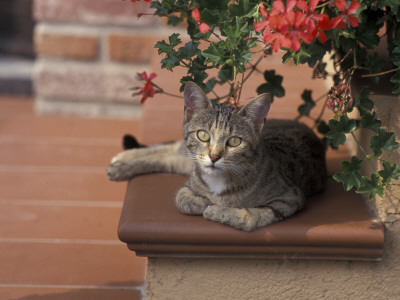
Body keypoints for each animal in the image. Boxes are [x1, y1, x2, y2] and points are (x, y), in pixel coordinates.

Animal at [108, 82, 326, 232]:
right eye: (203, 135)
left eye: (235, 141)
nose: (213, 156)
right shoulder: (190, 181)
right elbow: (182, 199)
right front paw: (205, 203)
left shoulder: (290, 197)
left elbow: (251, 217)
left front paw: (215, 210)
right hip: (189, 158)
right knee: (170, 149)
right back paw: (121, 162)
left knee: (168, 155)